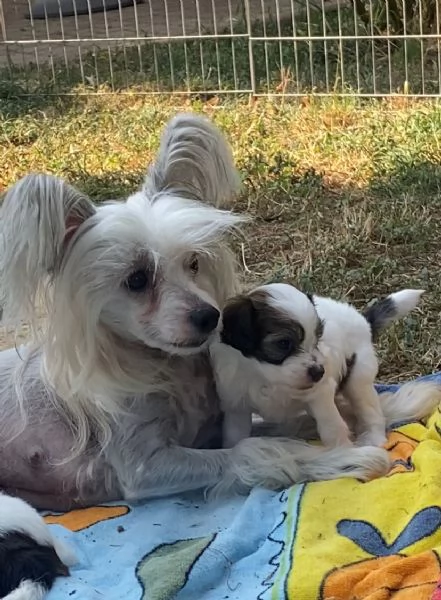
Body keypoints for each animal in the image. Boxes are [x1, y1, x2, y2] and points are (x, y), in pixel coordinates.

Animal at [211, 284, 424, 448]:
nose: (319, 372)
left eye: (317, 339)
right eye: (283, 343)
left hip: (358, 379)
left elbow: (332, 428)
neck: (267, 378)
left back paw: (373, 438)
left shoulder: (319, 394)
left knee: (370, 411)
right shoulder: (236, 405)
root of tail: (363, 321)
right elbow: (234, 438)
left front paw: (343, 453)